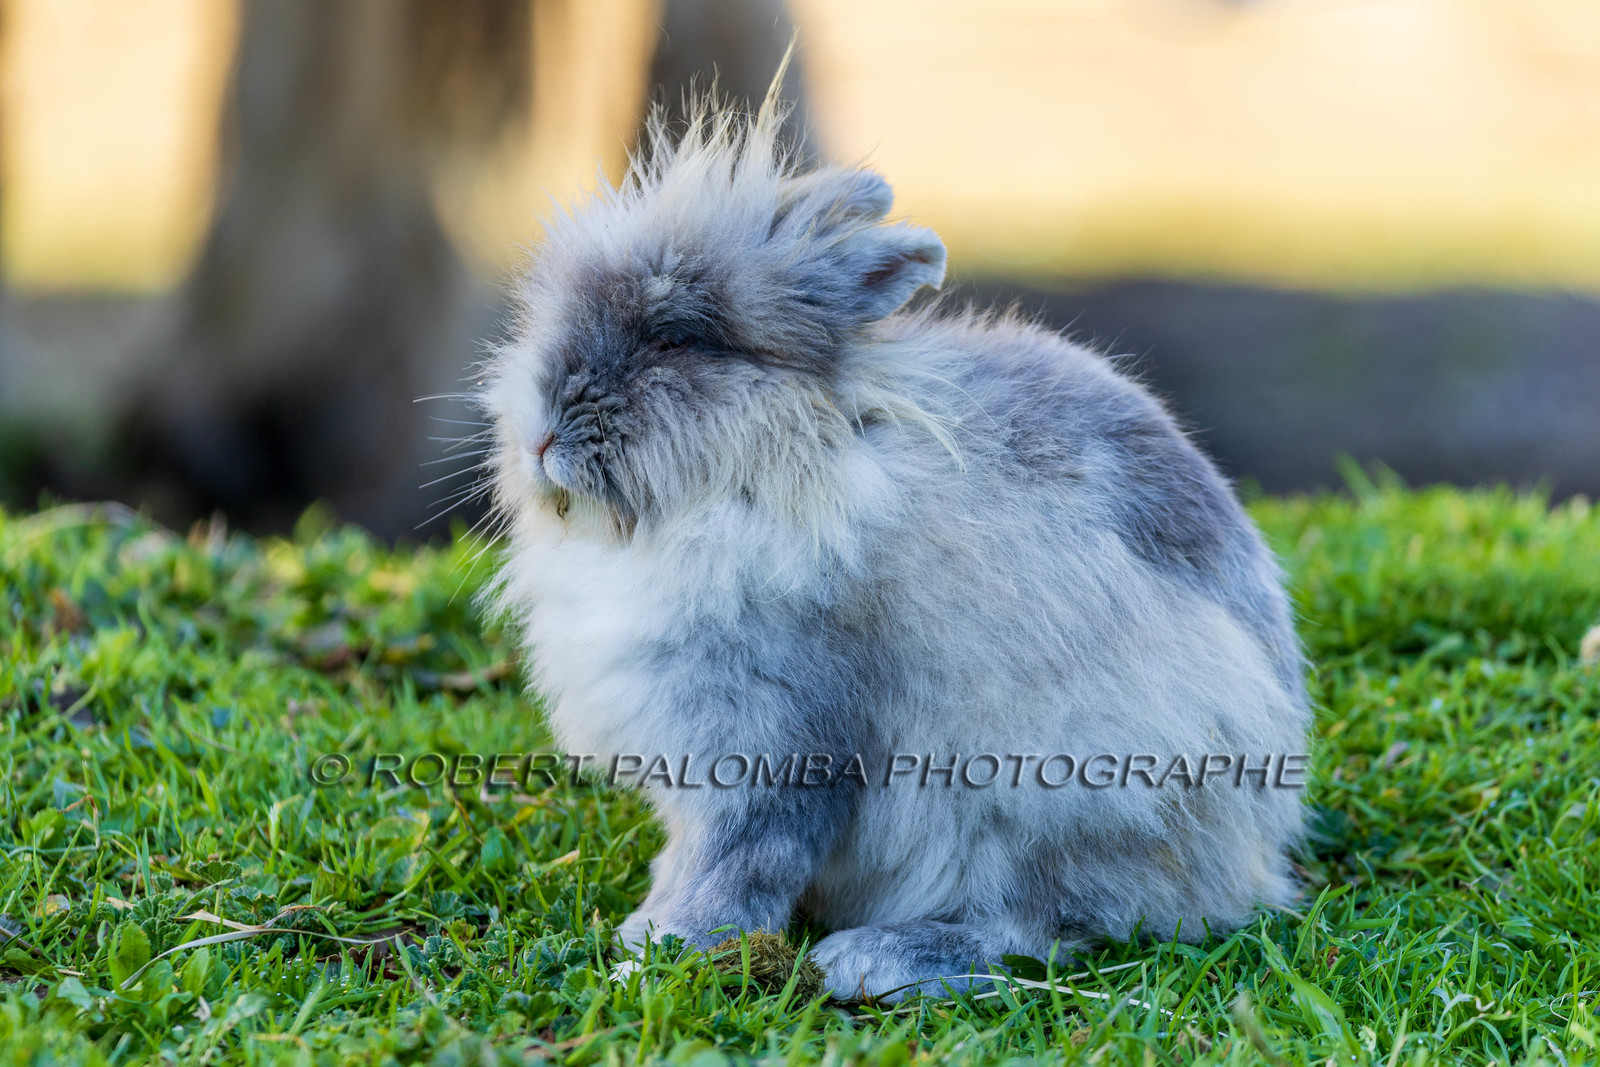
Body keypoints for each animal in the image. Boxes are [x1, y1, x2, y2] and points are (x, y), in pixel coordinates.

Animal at [478, 92, 1311, 1002]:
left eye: (678, 339)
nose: (537, 434)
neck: (770, 464)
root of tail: (1255, 854)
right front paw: (648, 927)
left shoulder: (775, 737)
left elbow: (742, 854)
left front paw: (668, 948)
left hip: (1060, 790)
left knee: (1038, 922)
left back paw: (873, 959)